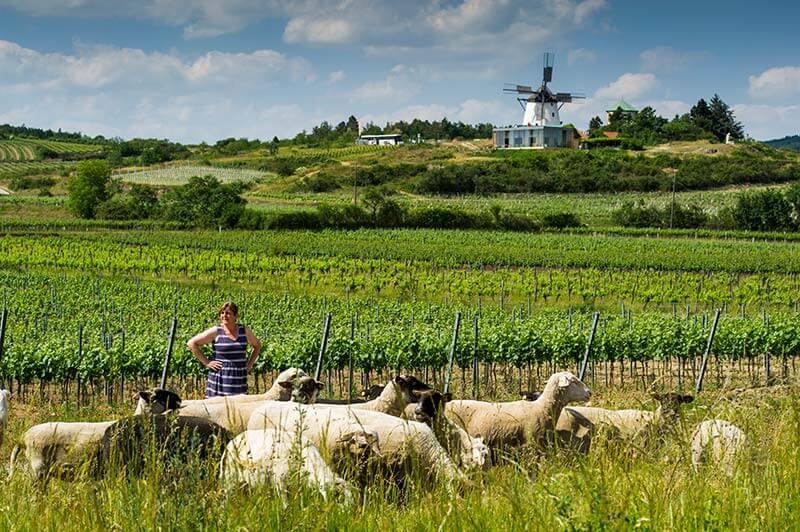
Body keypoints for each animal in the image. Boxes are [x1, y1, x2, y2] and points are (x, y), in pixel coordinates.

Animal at [217, 428, 358, 502]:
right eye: (338, 497)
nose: (348, 514)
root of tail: (232, 441)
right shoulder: (280, 480)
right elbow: (285, 503)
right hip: (229, 478)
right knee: (225, 498)